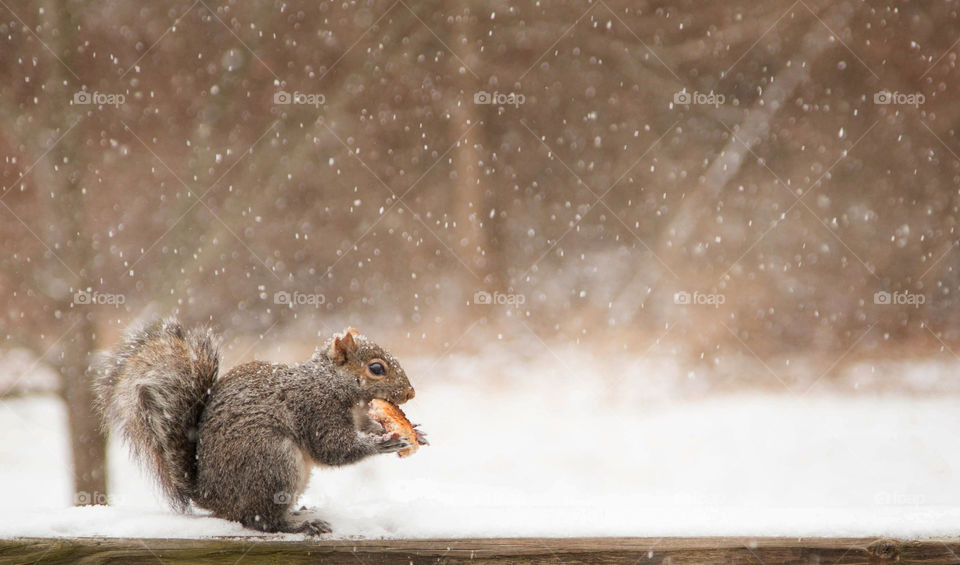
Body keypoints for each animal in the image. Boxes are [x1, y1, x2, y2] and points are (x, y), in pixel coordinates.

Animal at [94, 318, 424, 532]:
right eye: (376, 368)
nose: (410, 393)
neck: (330, 382)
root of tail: (211, 497)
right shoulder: (316, 409)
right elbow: (333, 449)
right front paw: (385, 442)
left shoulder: (357, 415)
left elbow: (365, 426)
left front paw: (412, 432)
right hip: (274, 462)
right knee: (260, 520)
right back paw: (299, 525)